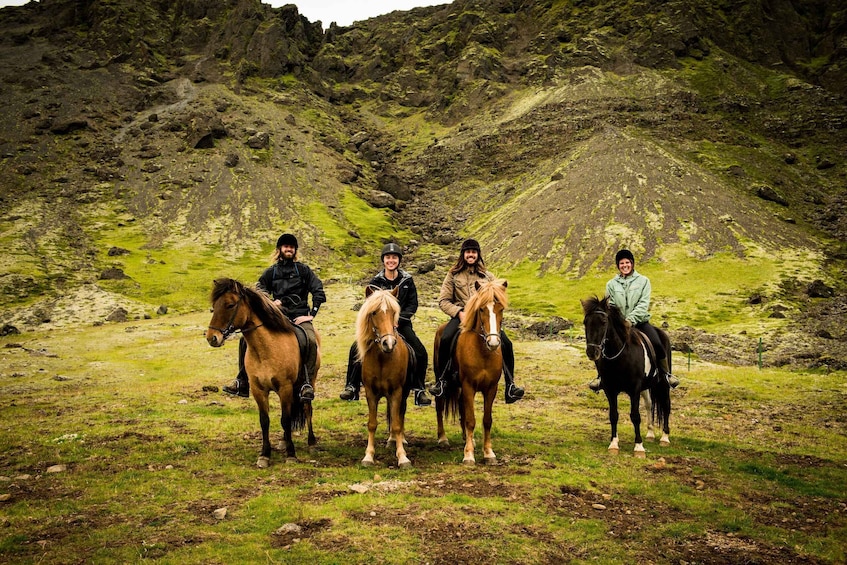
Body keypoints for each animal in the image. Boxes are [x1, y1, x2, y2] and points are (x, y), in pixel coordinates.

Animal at [207, 278, 320, 468]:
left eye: (230, 305)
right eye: (214, 306)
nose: (212, 338)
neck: (267, 349)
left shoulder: (285, 388)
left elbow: (286, 419)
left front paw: (291, 454)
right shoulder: (258, 389)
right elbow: (265, 421)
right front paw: (265, 455)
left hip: (309, 382)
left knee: (306, 407)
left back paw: (311, 443)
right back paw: (283, 441)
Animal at [354, 286, 414, 468]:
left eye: (394, 312)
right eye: (374, 312)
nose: (389, 343)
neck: (382, 357)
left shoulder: (397, 392)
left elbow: (396, 424)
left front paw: (402, 457)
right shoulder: (370, 392)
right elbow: (372, 424)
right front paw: (368, 456)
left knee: (399, 416)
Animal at [434, 276, 506, 462]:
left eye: (501, 309)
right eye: (481, 309)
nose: (493, 343)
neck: (483, 353)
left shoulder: (491, 388)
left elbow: (486, 420)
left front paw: (488, 453)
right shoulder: (468, 386)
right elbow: (471, 420)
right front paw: (468, 455)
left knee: (461, 407)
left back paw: (467, 438)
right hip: (442, 381)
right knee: (440, 404)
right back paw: (443, 438)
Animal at [580, 298, 672, 456]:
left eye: (603, 322)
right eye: (585, 322)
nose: (592, 352)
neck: (620, 356)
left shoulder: (634, 389)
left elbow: (635, 416)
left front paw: (639, 447)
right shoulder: (610, 390)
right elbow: (613, 415)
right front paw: (614, 444)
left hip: (663, 384)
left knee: (666, 405)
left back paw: (665, 438)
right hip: (646, 387)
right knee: (649, 404)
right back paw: (650, 434)